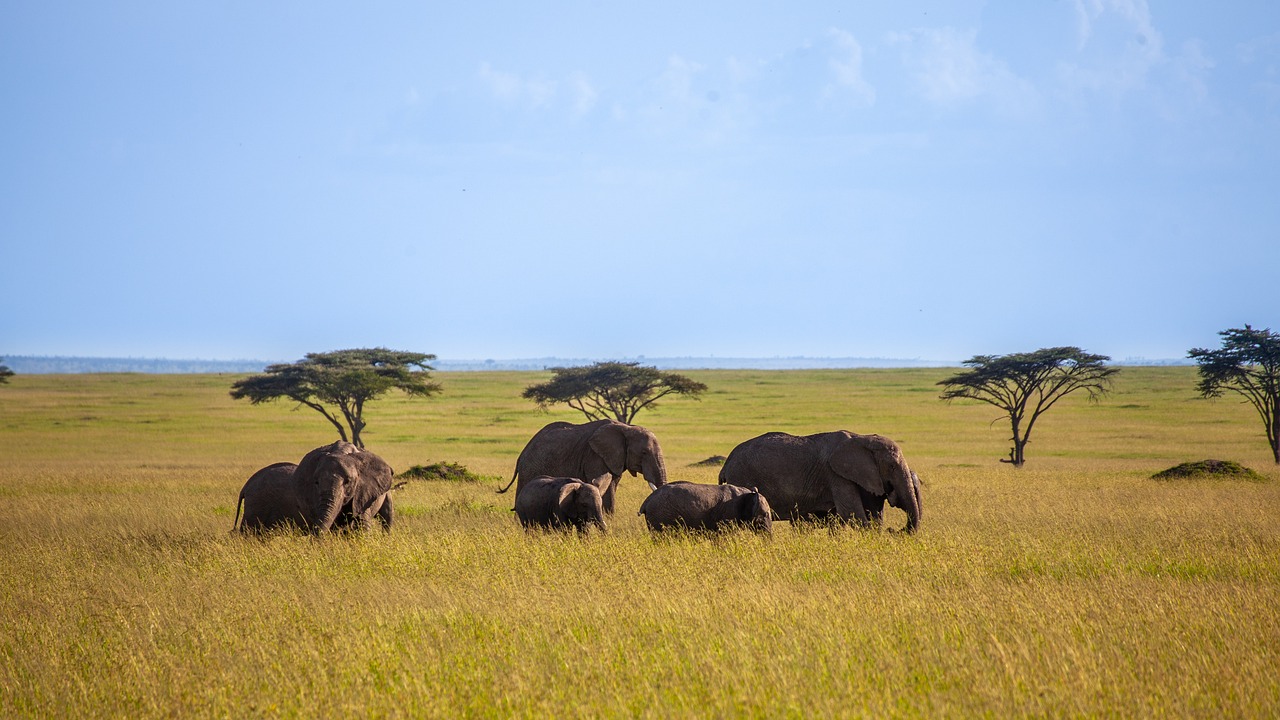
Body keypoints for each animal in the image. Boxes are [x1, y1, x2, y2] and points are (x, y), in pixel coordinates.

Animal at [234, 438, 394, 532]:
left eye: (348, 482)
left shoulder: (364, 493)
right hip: (256, 505)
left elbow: (361, 525)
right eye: (316, 482)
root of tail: (246, 486)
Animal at [494, 417, 665, 512]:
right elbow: (606, 489)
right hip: (530, 468)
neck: (626, 428)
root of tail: (521, 456)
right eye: (644, 453)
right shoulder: (594, 456)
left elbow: (612, 485)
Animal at [721, 427, 921, 530]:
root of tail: (726, 463)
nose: (894, 530)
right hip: (741, 476)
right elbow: (852, 513)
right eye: (892, 466)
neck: (862, 438)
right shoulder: (836, 475)